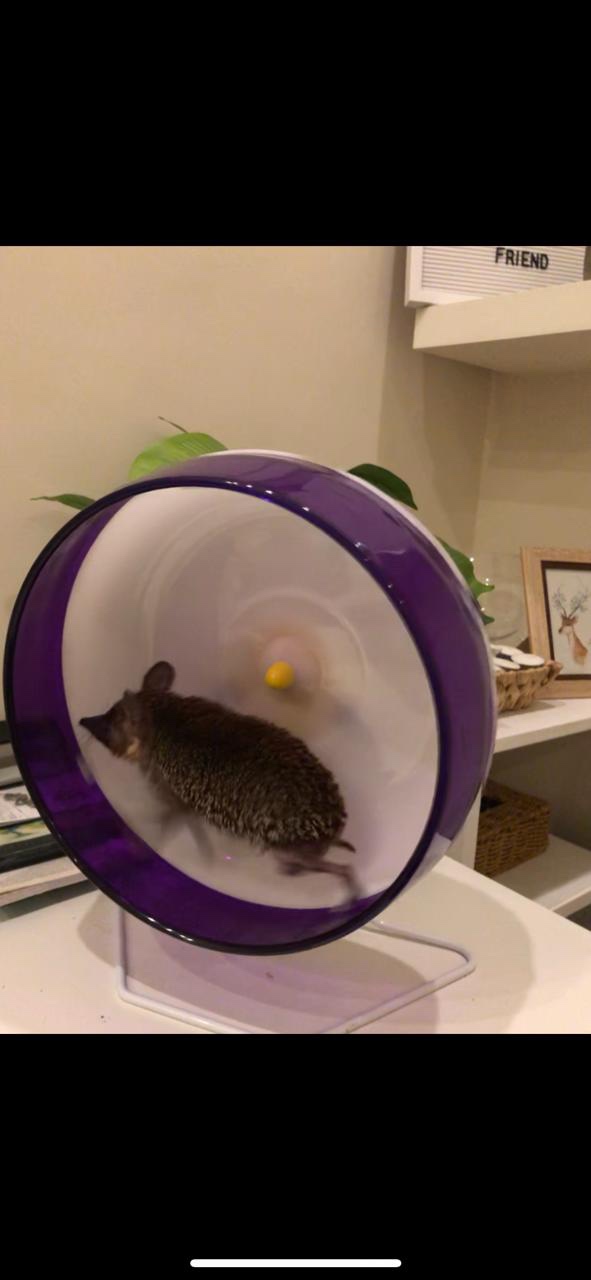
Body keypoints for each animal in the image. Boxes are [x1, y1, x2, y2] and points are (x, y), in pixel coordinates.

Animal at [80, 661, 359, 901]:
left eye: (110, 724)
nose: (83, 721)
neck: (160, 718)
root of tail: (332, 830)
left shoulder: (167, 788)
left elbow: (171, 817)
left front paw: (143, 841)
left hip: (287, 847)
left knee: (323, 866)